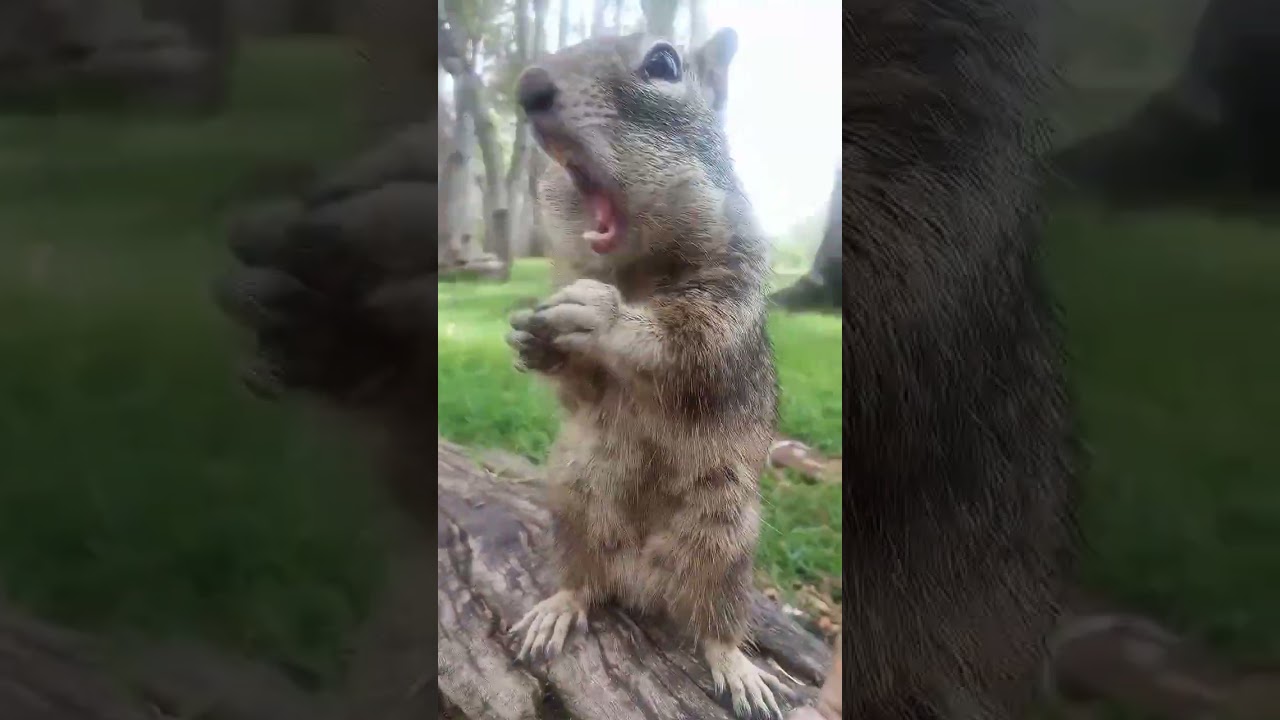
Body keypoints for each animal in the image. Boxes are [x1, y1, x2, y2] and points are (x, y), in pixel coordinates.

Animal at [503, 28, 792, 720]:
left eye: (664, 62)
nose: (529, 87)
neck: (635, 270)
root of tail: (640, 580)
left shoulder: (730, 299)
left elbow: (686, 341)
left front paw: (602, 313)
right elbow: (580, 386)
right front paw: (532, 341)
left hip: (722, 539)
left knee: (714, 622)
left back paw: (733, 662)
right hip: (574, 502)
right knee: (586, 585)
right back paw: (561, 605)